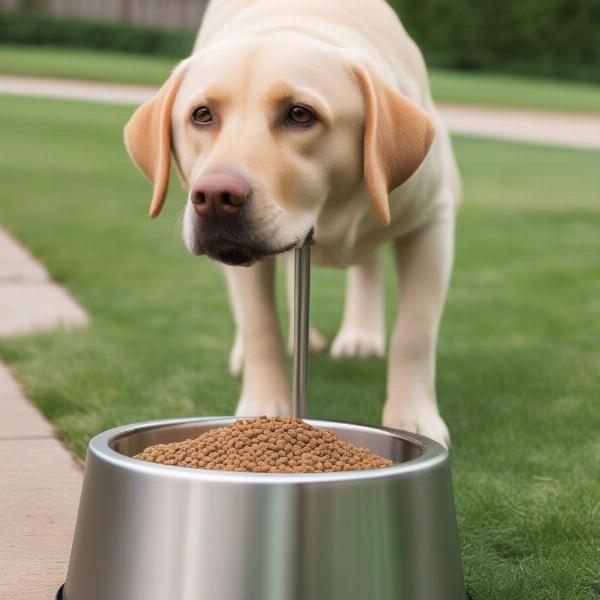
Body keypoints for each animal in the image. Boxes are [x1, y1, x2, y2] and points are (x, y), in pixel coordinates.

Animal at [123, 0, 460, 446]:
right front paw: (264, 408)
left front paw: (413, 418)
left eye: (300, 114)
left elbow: (415, 332)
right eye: (202, 115)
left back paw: (360, 336)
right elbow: (260, 325)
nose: (213, 197)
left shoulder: (432, 221)